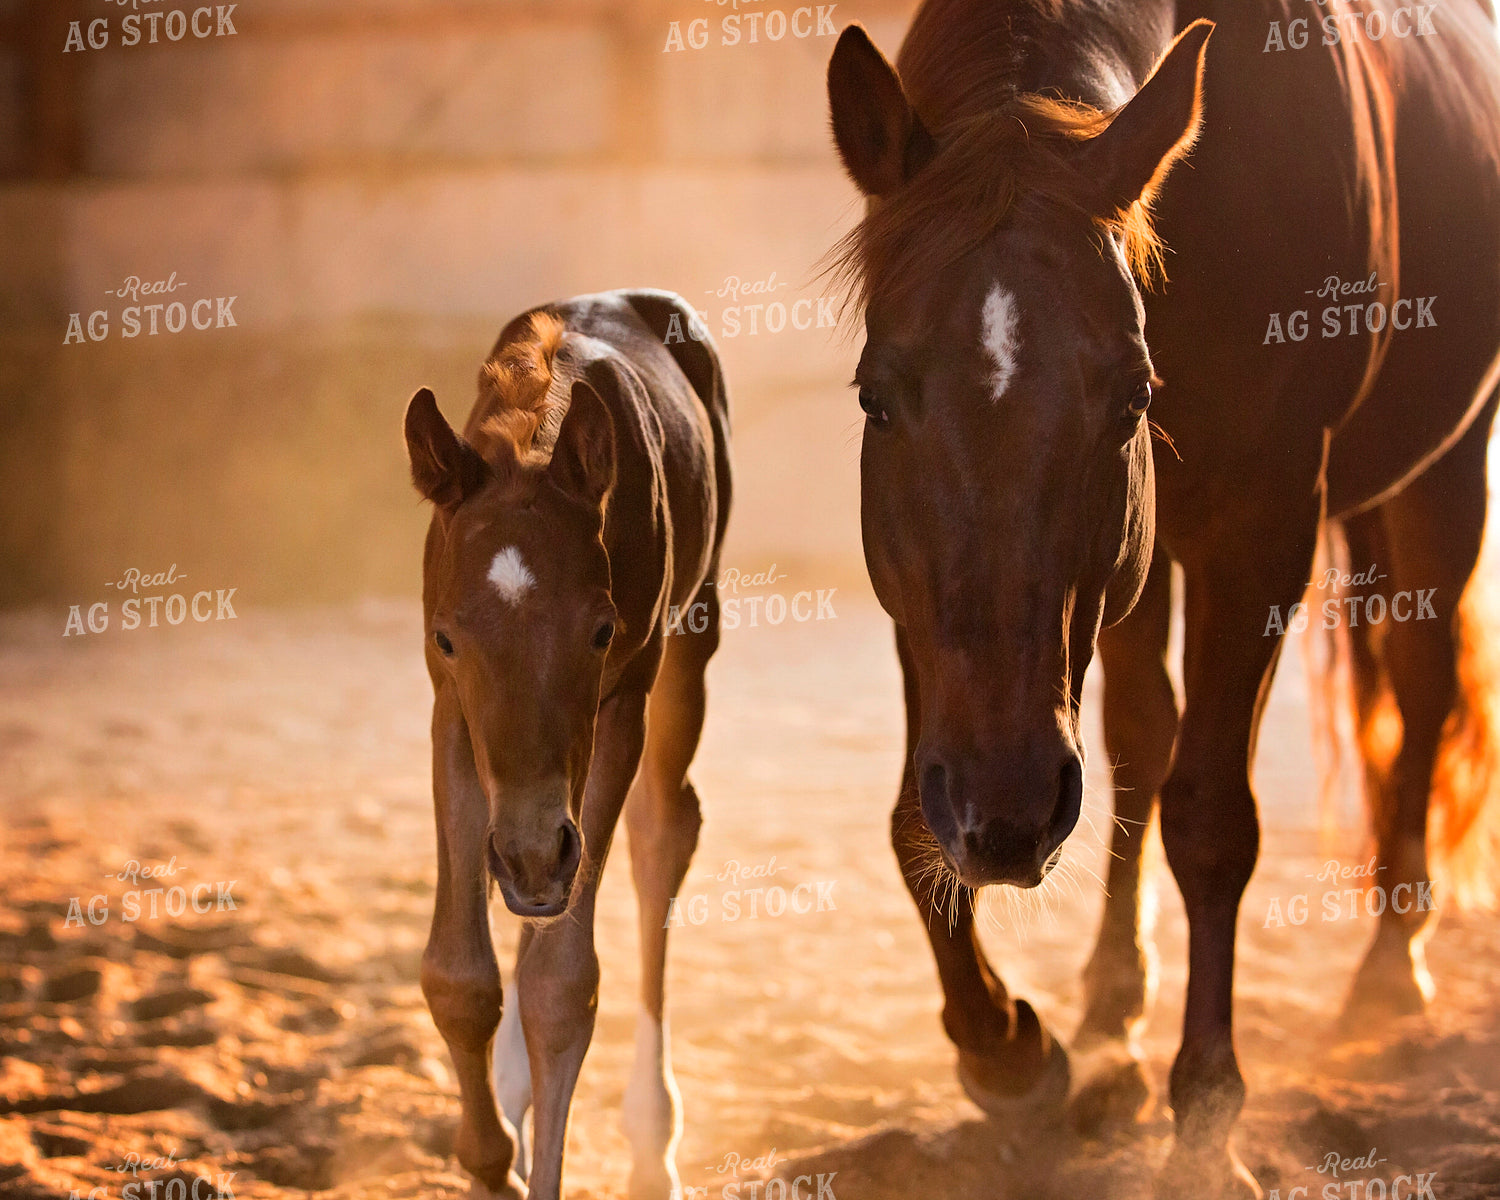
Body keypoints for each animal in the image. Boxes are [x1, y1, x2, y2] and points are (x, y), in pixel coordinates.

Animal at [403, 289, 732, 1200]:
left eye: (600, 631)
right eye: (447, 639)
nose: (531, 856)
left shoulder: (619, 703)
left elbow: (561, 986)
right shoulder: (453, 715)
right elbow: (459, 975)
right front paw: (491, 1160)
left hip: (691, 638)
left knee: (660, 839)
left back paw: (652, 1144)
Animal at [824, 2, 1500, 1194]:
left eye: (1134, 395)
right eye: (876, 397)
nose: (1007, 814)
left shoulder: (1259, 537)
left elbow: (1212, 818)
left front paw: (1207, 1115)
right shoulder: (932, 614)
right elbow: (916, 818)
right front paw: (1011, 1052)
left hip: (1442, 472)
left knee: (1420, 697)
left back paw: (1390, 968)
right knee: (1142, 731)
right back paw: (1108, 999)